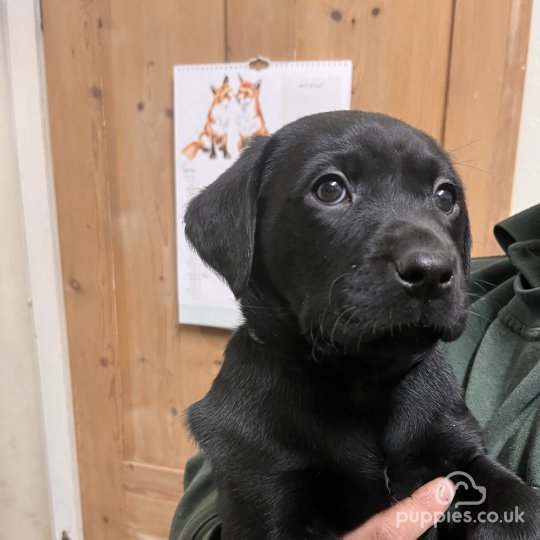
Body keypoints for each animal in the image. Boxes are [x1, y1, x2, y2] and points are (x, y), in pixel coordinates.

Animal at [182, 112, 540, 536]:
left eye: (445, 197)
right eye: (330, 189)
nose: (431, 272)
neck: (364, 385)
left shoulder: (456, 443)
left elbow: (515, 498)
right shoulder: (263, 486)